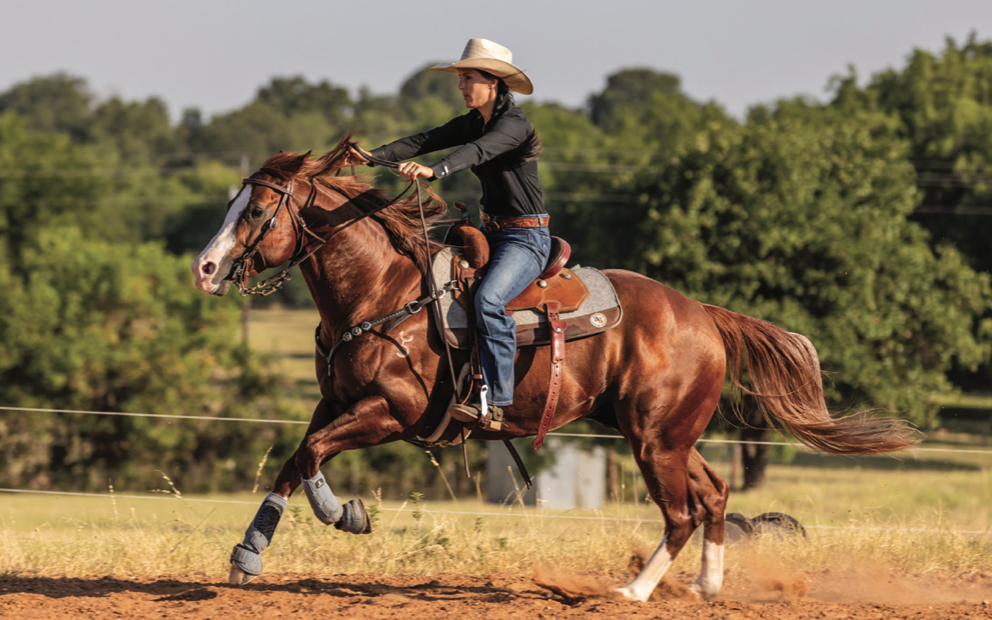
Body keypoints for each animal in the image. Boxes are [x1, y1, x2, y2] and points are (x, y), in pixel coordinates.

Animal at [190, 137, 917, 602]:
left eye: (258, 211)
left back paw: (633, 590)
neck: (384, 291)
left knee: (682, 512)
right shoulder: (335, 402)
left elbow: (313, 455)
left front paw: (347, 514)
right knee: (713, 493)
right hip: (665, 434)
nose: (204, 267)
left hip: (655, 440)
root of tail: (705, 316)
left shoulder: (391, 413)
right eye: (231, 205)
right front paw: (247, 555)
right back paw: (706, 586)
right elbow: (296, 457)